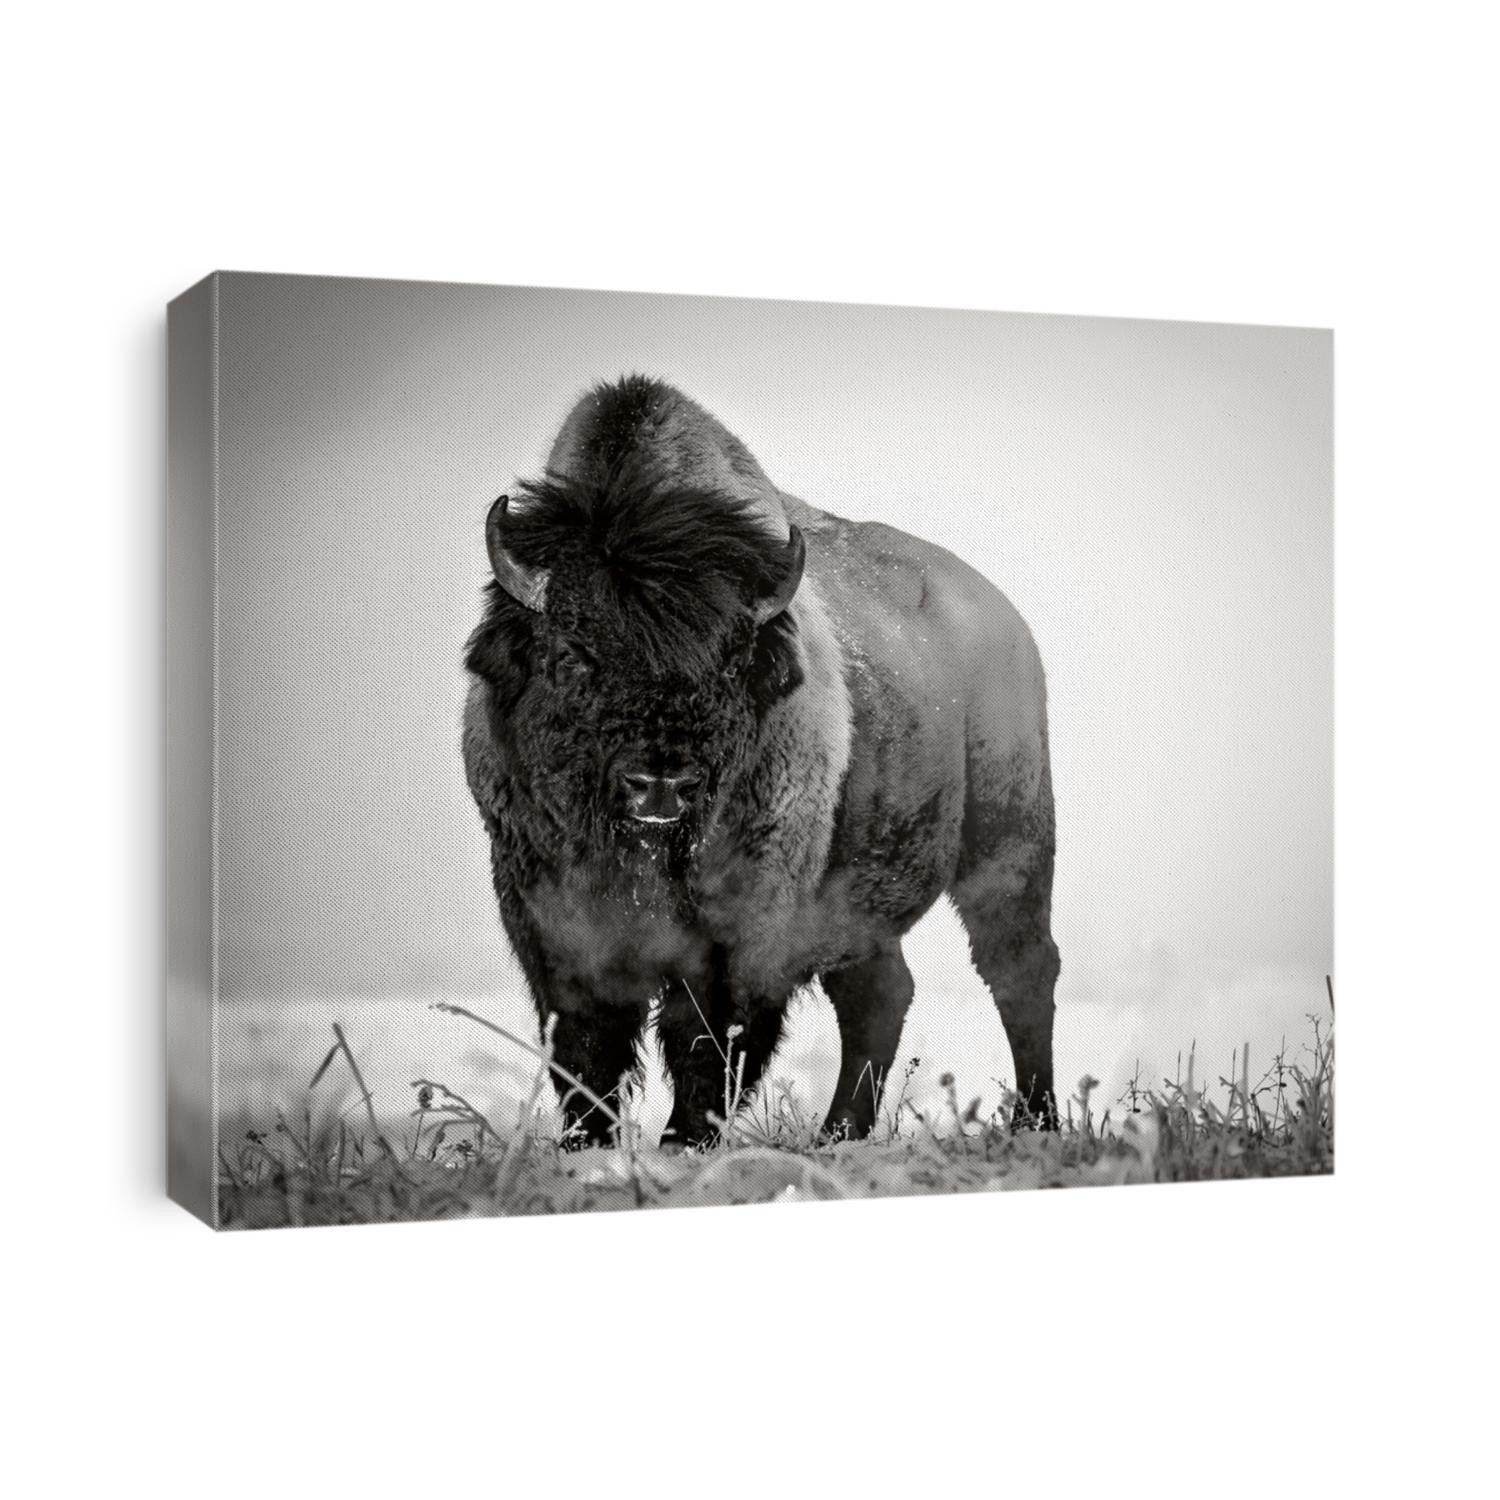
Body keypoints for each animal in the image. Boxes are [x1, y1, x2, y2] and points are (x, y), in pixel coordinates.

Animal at [463, 376, 1059, 1146]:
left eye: (730, 661)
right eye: (570, 654)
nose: (661, 784)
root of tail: (1004, 618)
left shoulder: (741, 931)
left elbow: (706, 1037)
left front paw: (685, 1141)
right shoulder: (548, 920)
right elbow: (587, 1046)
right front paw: (590, 1144)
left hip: (1010, 842)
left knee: (1018, 970)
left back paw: (1036, 1120)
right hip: (864, 895)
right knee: (879, 994)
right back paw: (839, 1134)